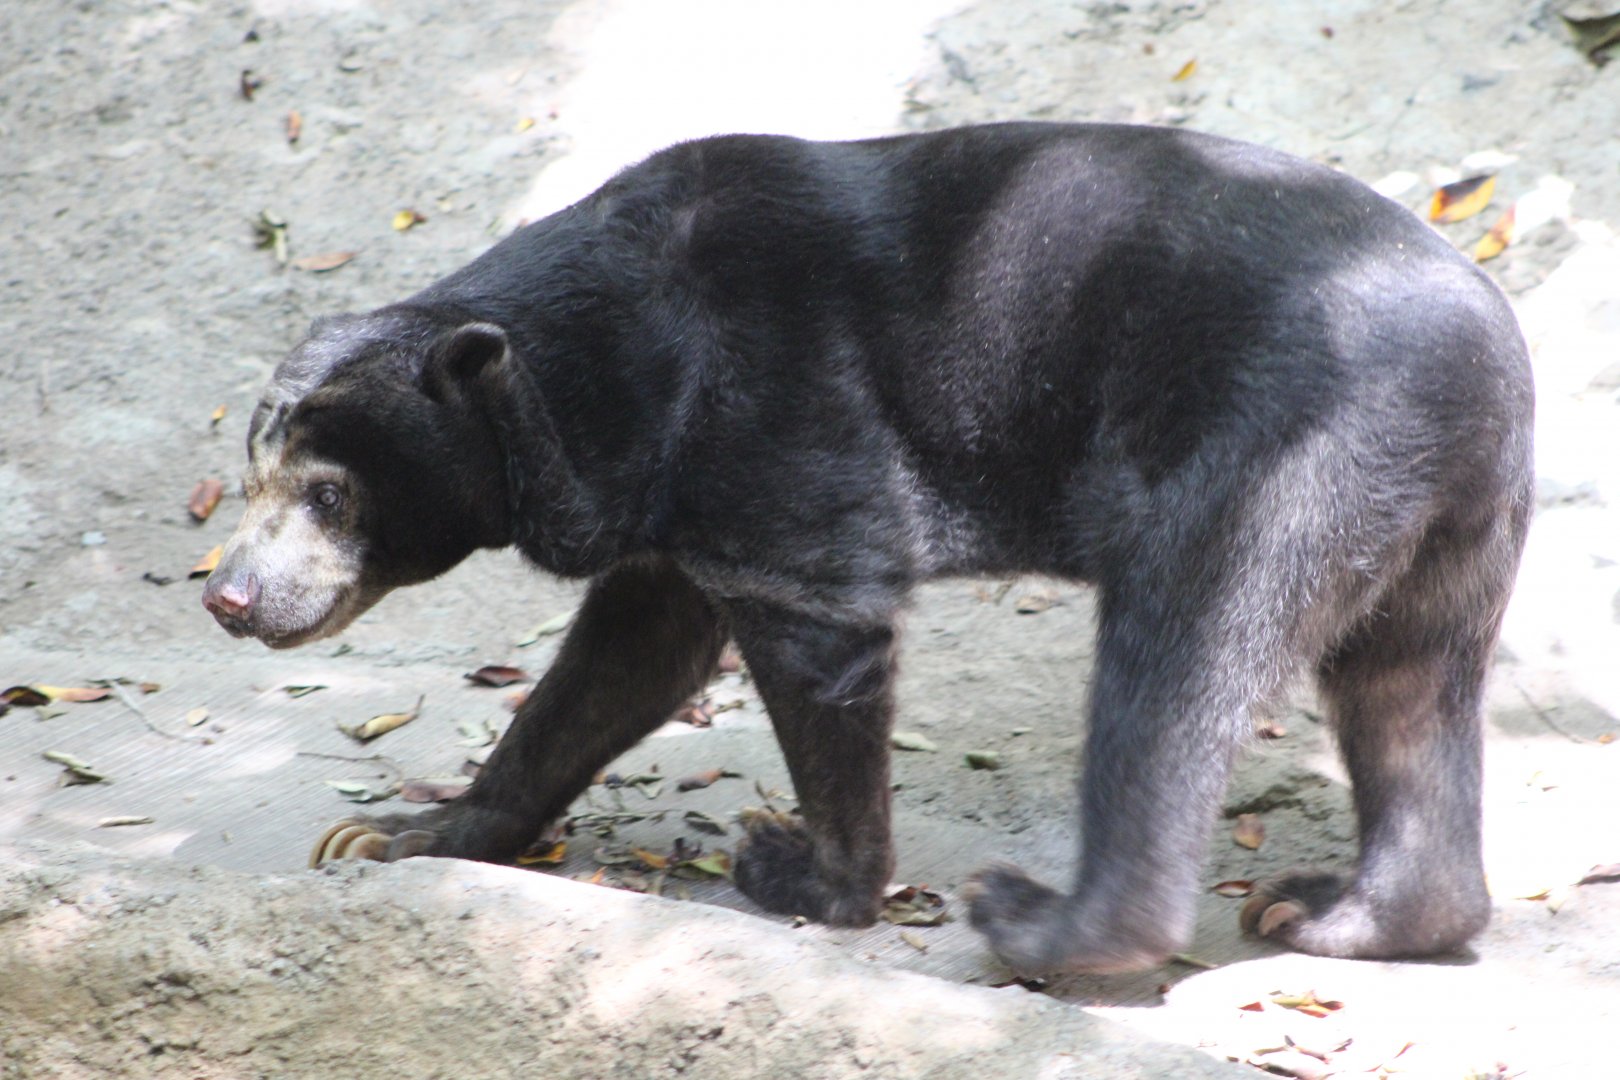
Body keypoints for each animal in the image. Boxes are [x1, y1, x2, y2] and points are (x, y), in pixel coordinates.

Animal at [203, 121, 1534, 975]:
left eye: (327, 495)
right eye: (249, 477)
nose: (229, 599)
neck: (597, 374)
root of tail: (1483, 342)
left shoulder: (768, 417)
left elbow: (819, 624)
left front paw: (804, 876)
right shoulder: (666, 497)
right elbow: (621, 664)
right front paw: (398, 833)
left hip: (1281, 445)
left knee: (1183, 654)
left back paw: (1049, 924)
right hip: (1439, 524)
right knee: (1404, 691)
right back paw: (1351, 916)